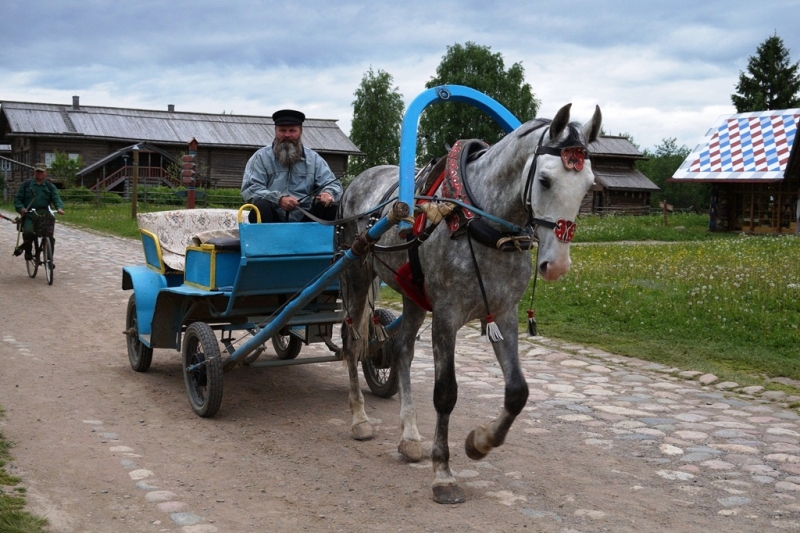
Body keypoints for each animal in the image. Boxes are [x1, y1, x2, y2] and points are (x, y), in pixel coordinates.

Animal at [336, 103, 600, 502]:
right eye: (545, 180)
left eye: (589, 185)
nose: (556, 265)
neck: (480, 222)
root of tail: (358, 180)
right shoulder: (447, 316)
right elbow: (446, 394)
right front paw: (443, 473)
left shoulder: (504, 314)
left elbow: (518, 392)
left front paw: (480, 442)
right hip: (357, 272)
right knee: (353, 344)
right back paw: (360, 419)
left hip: (413, 294)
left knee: (401, 350)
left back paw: (409, 436)